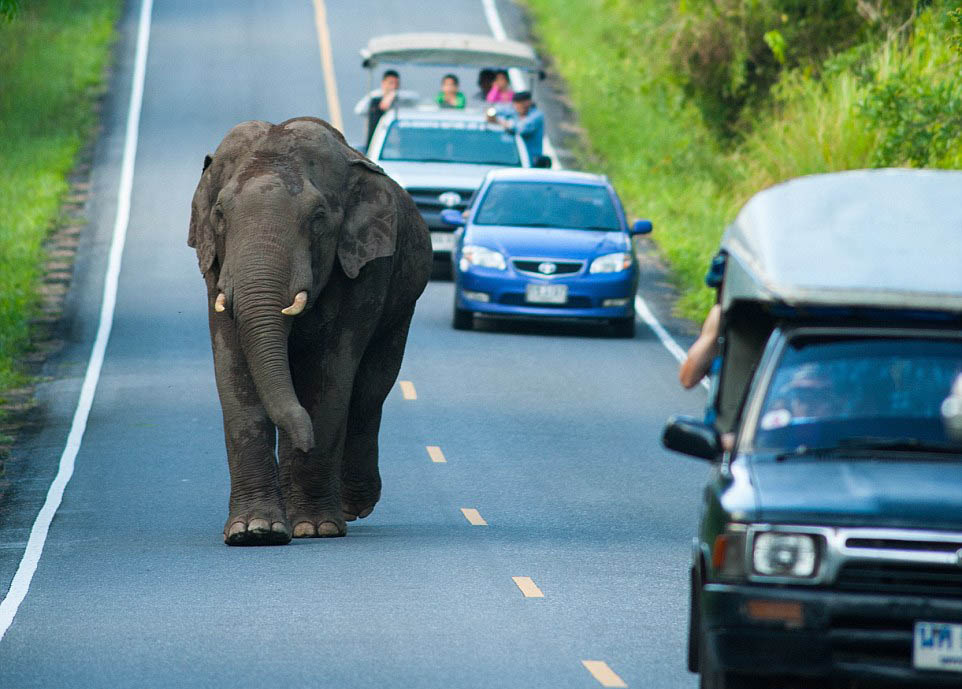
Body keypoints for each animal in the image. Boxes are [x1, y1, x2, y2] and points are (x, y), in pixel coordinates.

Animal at [188, 117, 431, 546]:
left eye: (318, 217)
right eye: (219, 214)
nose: (304, 442)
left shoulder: (362, 269)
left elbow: (329, 377)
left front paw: (316, 528)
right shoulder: (215, 268)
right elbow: (234, 372)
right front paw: (255, 532)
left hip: (403, 304)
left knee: (369, 391)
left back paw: (349, 507)